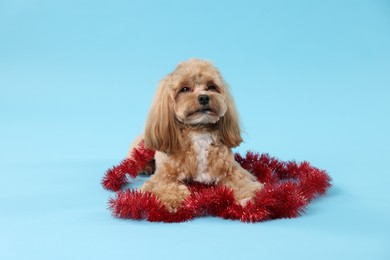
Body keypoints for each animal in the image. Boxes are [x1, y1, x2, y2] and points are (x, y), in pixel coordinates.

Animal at [130, 58, 262, 211]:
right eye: (185, 89)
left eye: (211, 87)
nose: (204, 97)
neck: (199, 131)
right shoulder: (162, 177)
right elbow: (164, 188)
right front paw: (172, 200)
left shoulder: (232, 170)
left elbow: (243, 182)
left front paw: (251, 196)